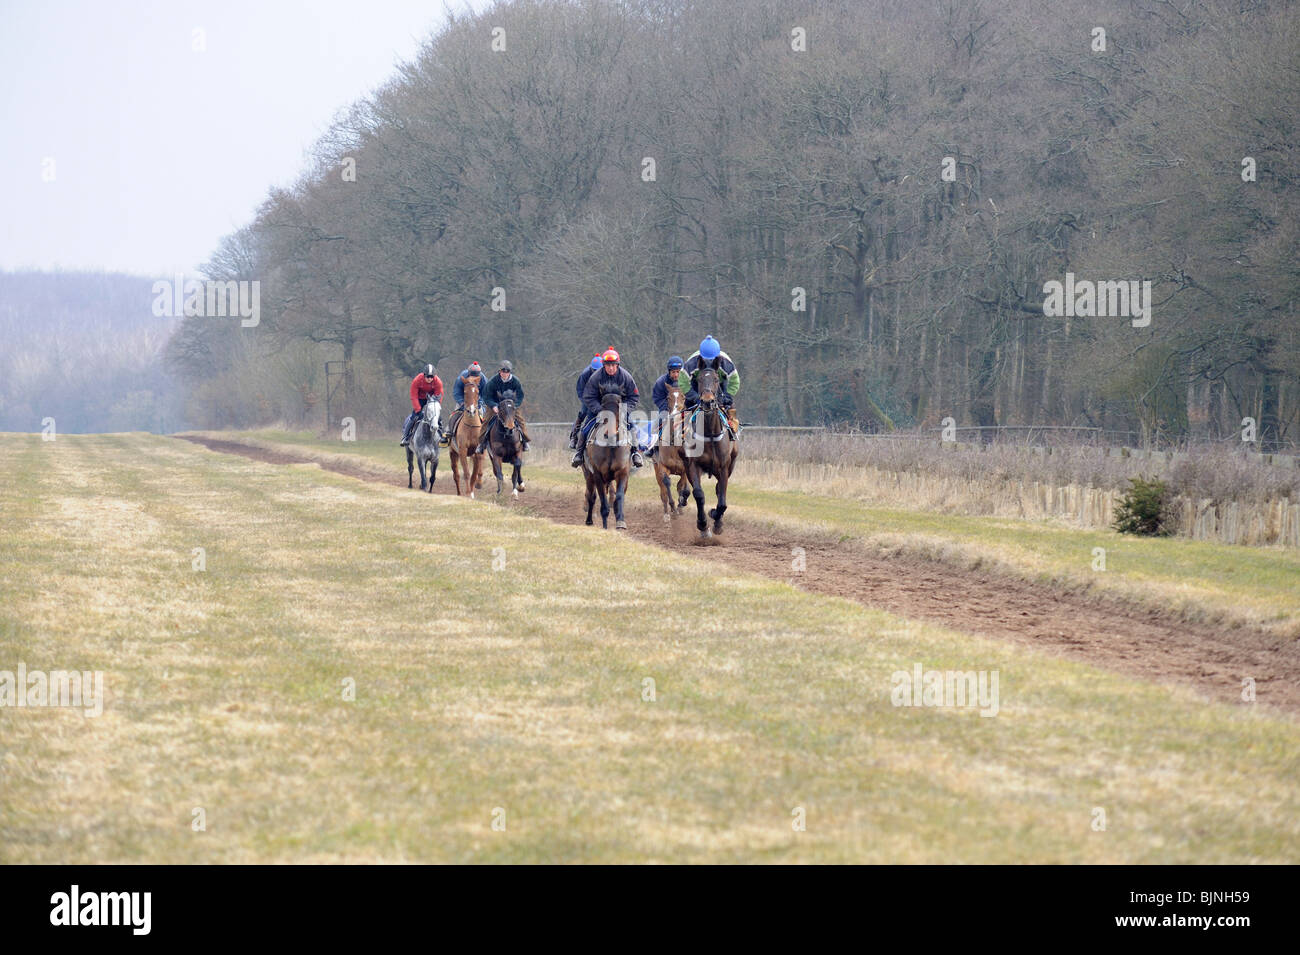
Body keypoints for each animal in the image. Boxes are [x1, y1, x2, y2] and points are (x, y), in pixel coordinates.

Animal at [650, 376, 691, 519]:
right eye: (668, 397)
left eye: (684, 397)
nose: (674, 414)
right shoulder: (662, 467)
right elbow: (667, 484)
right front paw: (673, 507)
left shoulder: (685, 469)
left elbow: (682, 487)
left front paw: (680, 505)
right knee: (662, 491)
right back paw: (666, 513)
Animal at [686, 366, 738, 537]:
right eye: (700, 379)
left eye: (716, 379)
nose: (708, 401)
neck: (709, 434)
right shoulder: (692, 465)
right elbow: (698, 494)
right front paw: (703, 525)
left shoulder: (723, 468)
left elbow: (722, 501)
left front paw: (716, 521)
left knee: (718, 490)